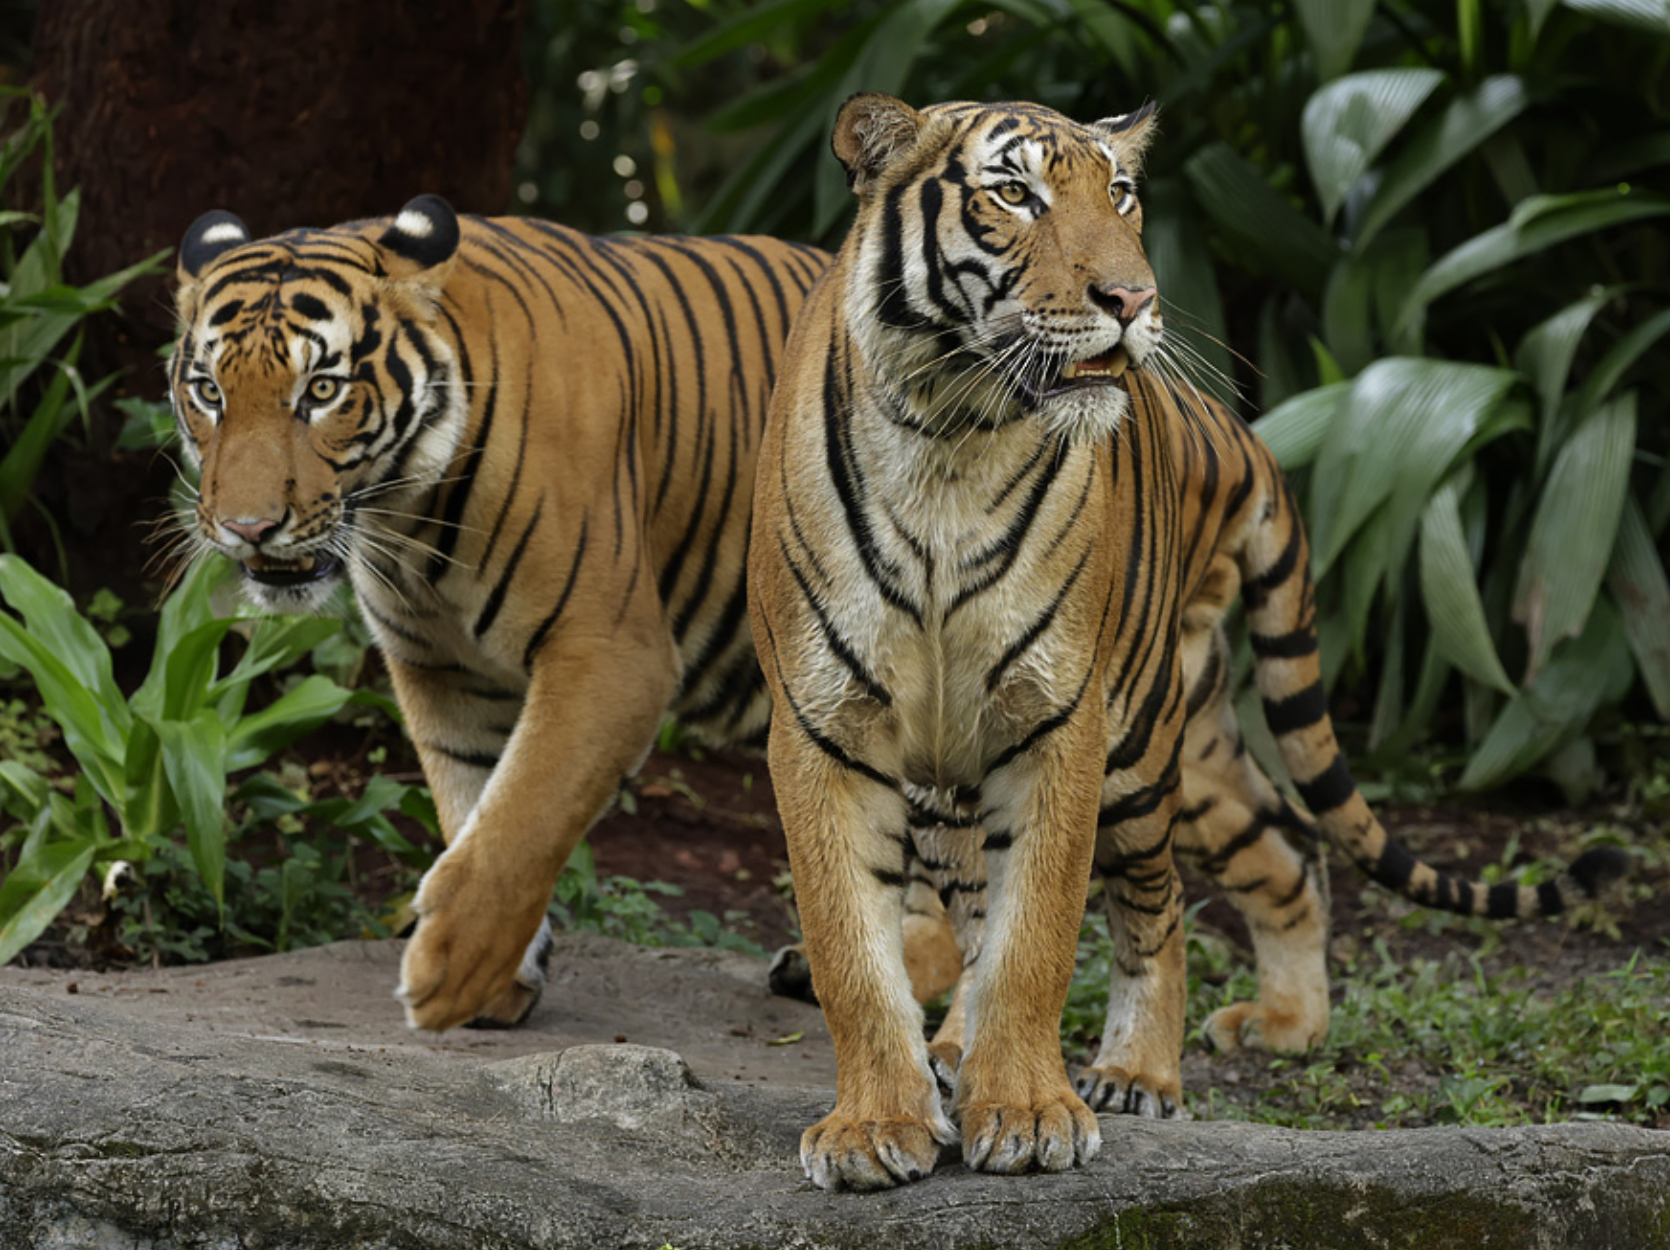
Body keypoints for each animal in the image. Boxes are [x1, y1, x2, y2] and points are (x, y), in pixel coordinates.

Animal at [169, 195, 827, 1031]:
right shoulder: (444, 669)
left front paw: (451, 968)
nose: (248, 528)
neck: (410, 520)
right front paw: (503, 978)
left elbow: (528, 810)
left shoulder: (612, 652)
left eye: (320, 391)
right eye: (209, 392)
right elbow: (474, 798)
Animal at [746, 93, 1626, 1190]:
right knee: (1278, 848)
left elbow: (1036, 937)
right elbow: (852, 949)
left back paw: (1141, 1070)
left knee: (1160, 907)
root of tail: (1238, 427)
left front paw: (1027, 1112)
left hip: (1137, 746)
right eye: (1012, 194)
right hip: (1112, 754)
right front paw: (876, 1124)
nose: (1132, 298)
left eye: (1120, 194)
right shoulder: (824, 723)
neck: (951, 434)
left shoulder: (1058, 720)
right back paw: (1271, 1024)